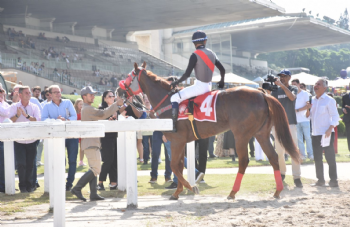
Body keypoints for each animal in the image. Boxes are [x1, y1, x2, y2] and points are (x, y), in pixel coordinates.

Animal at [124, 62, 300, 200]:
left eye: (128, 77)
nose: (120, 91)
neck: (169, 102)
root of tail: (262, 94)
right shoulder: (180, 142)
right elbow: (179, 166)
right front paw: (178, 192)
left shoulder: (177, 140)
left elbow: (174, 166)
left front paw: (191, 187)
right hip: (261, 134)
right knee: (274, 157)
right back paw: (277, 191)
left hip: (241, 135)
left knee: (244, 161)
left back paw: (232, 192)